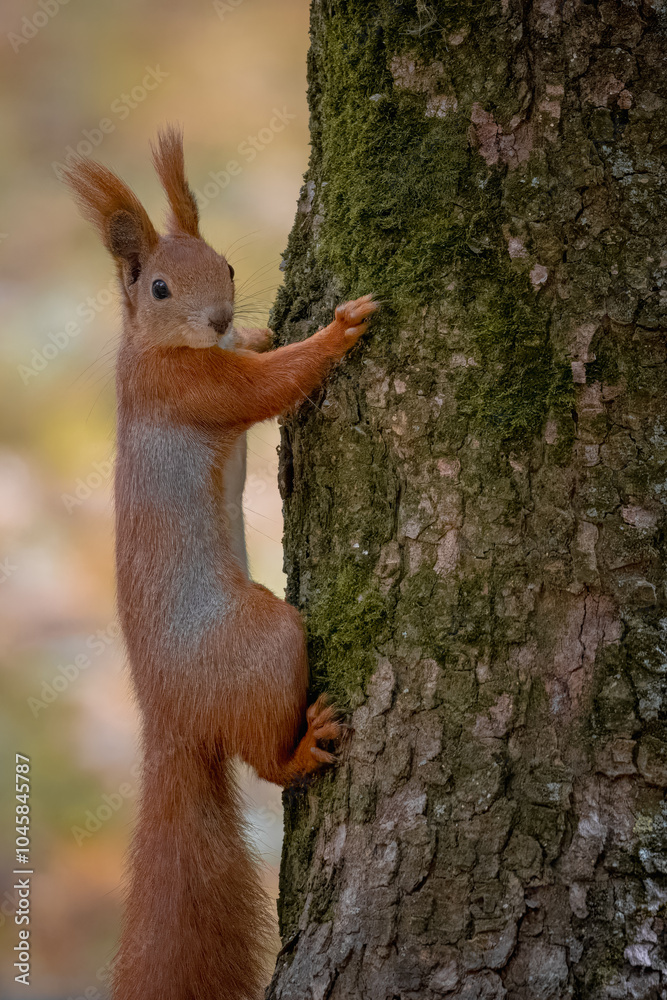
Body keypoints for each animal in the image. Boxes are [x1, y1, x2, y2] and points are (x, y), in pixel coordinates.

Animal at [64, 127, 378, 1000]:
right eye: (160, 286)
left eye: (230, 266)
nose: (220, 317)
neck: (151, 345)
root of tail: (169, 719)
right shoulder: (189, 388)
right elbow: (265, 388)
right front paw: (336, 333)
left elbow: (257, 359)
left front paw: (268, 329)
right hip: (264, 642)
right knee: (268, 766)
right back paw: (305, 746)